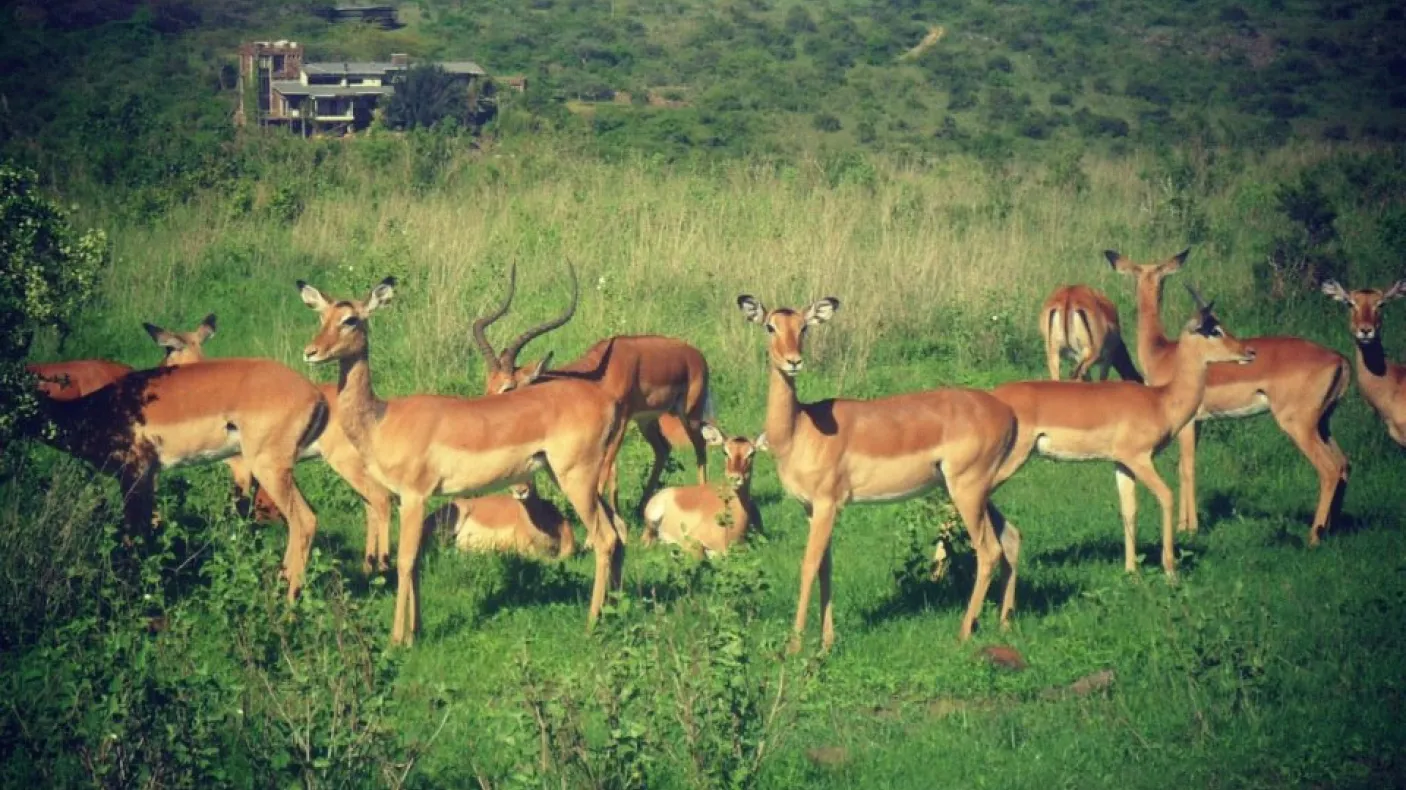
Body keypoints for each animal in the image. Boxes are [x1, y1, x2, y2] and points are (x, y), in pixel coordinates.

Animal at [297, 276, 627, 645]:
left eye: (350, 319)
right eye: (321, 315)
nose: (311, 352)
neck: (382, 420)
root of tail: (607, 400)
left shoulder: (412, 497)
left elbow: (405, 560)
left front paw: (397, 640)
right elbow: (417, 560)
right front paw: (416, 631)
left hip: (576, 479)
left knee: (605, 538)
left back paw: (591, 624)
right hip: (575, 479)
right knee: (619, 532)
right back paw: (614, 613)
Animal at [472, 265, 713, 521]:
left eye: (509, 387)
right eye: (488, 385)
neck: (598, 376)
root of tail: (695, 355)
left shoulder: (621, 421)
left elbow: (606, 467)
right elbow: (612, 470)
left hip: (689, 413)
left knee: (700, 447)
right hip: (647, 420)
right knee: (663, 448)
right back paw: (640, 508)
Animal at [737, 294, 1020, 649]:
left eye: (803, 327)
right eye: (770, 326)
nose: (793, 361)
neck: (798, 430)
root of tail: (1008, 413)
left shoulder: (828, 504)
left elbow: (809, 565)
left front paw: (794, 647)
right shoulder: (811, 508)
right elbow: (826, 566)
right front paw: (827, 642)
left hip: (967, 491)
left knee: (988, 551)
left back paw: (964, 633)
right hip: (975, 491)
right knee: (1011, 538)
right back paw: (1004, 625)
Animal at [992, 288, 1256, 577]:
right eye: (1214, 330)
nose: (1249, 351)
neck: (1161, 401)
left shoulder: (1122, 463)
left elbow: (1129, 509)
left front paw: (1131, 571)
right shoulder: (1140, 458)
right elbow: (1166, 496)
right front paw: (1170, 571)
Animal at [1109, 249, 1350, 545]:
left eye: (1158, 274)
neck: (1162, 353)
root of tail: (1339, 359)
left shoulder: (1187, 424)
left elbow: (1187, 467)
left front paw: (1189, 529)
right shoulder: (1198, 423)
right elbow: (1183, 467)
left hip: (1298, 424)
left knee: (1329, 469)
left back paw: (1313, 537)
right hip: (1323, 423)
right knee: (1343, 464)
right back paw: (1330, 530)